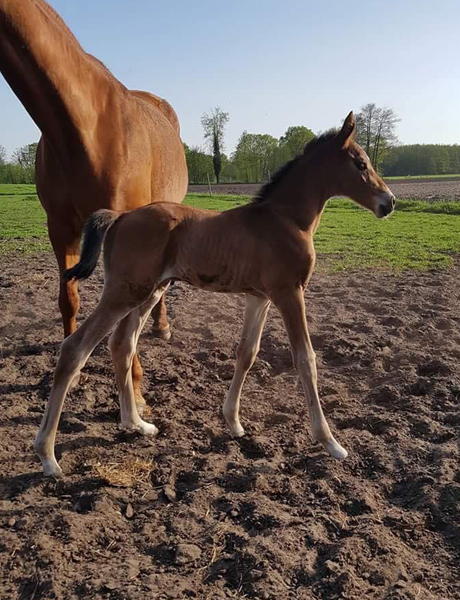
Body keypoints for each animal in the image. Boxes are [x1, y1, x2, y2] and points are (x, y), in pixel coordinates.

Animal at [0, 0, 188, 408]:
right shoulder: (60, 228)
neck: (83, 127)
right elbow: (69, 300)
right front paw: (70, 375)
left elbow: (125, 320)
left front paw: (135, 387)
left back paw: (162, 326)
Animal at [35, 112, 396, 478]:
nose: (390, 202)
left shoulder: (260, 297)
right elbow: (305, 360)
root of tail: (120, 216)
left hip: (148, 292)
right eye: (360, 163)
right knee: (75, 349)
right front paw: (331, 443)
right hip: (124, 293)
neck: (285, 220)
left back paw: (137, 425)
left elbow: (247, 353)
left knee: (122, 345)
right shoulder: (289, 293)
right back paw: (48, 456)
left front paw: (233, 422)